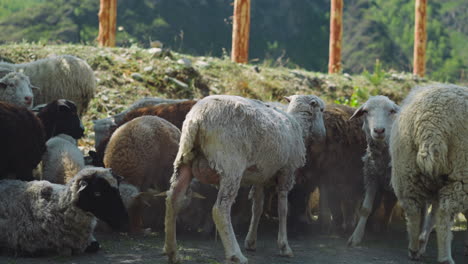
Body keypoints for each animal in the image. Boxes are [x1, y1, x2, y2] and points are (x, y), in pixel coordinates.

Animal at [164, 95, 326, 264]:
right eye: (322, 110)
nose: (323, 135)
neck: (299, 125)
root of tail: (197, 118)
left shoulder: (260, 176)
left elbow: (257, 207)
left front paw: (251, 241)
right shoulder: (286, 172)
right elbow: (283, 209)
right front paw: (284, 246)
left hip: (184, 160)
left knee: (173, 200)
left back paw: (172, 252)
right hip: (230, 166)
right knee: (220, 209)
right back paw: (236, 254)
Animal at [346, 96, 400, 246]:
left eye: (391, 111)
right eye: (365, 111)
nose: (379, 130)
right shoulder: (371, 176)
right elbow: (365, 209)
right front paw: (356, 236)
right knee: (389, 205)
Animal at [388, 84, 468, 264]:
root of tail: (430, 123)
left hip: (406, 171)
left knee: (414, 210)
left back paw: (414, 249)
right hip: (461, 172)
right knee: (444, 213)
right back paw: (445, 257)